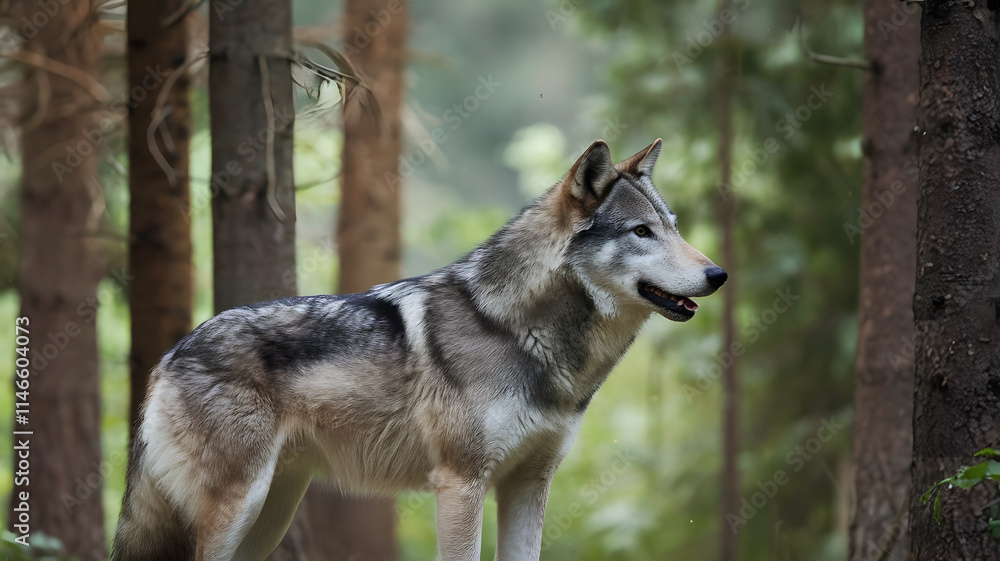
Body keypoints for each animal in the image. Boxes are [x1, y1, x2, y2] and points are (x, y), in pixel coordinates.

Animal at [111, 138, 727, 561]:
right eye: (642, 232)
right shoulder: (460, 482)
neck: (518, 331)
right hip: (239, 506)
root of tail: (171, 353)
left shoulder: (529, 485)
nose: (718, 274)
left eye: (673, 227)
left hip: (270, 513)